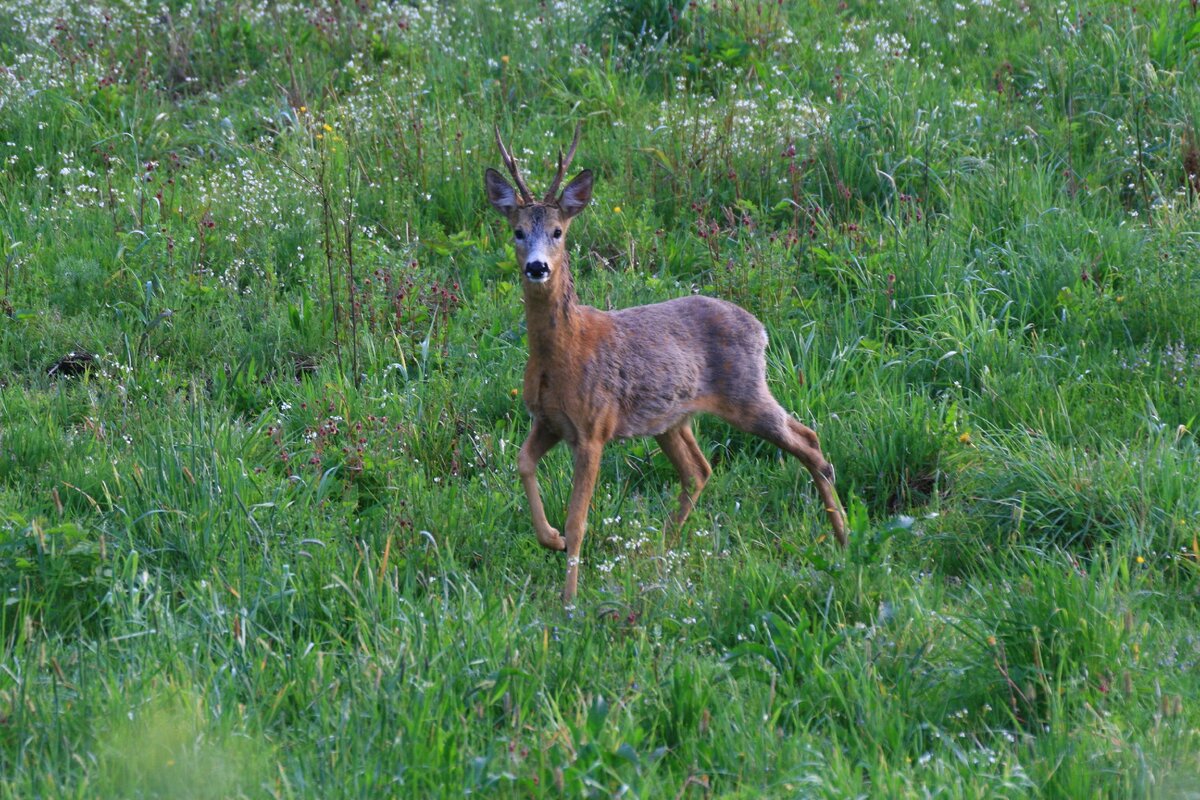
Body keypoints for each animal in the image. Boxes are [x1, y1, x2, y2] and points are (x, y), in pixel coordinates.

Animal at [482, 122, 849, 604]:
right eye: (518, 231)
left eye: (558, 231)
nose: (537, 268)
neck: (562, 353)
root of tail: (761, 328)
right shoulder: (548, 421)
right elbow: (523, 464)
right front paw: (551, 540)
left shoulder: (594, 427)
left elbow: (579, 519)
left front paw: (569, 600)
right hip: (672, 419)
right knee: (699, 471)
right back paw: (660, 553)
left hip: (746, 393)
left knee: (808, 442)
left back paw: (842, 538)